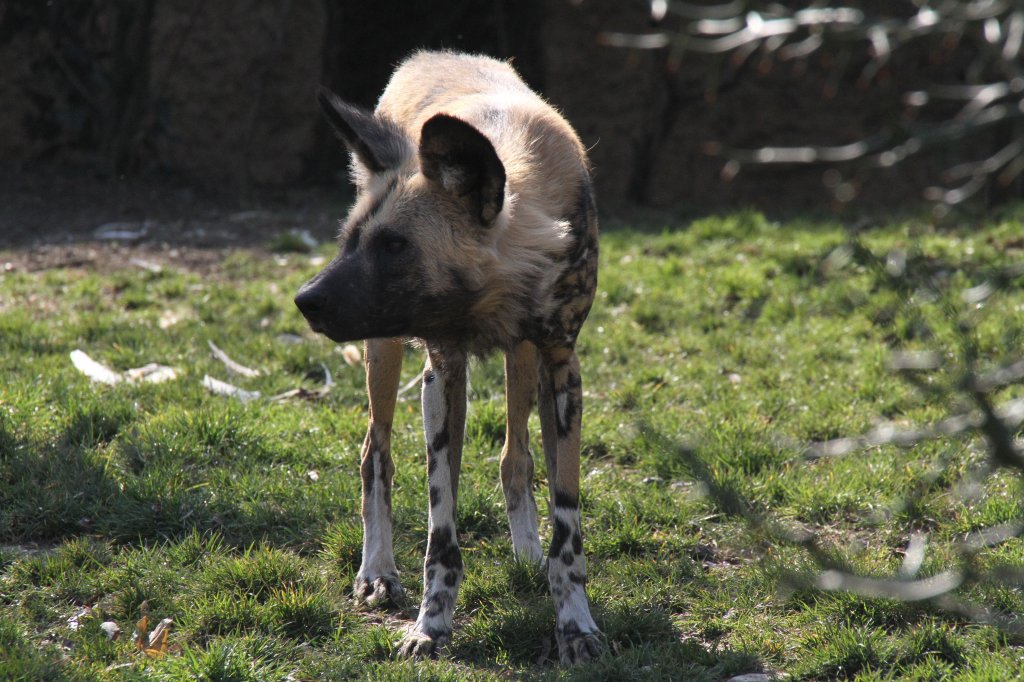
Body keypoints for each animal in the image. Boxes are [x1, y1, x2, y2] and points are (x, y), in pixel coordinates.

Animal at [294, 51, 598, 663]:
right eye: (350, 240)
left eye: (394, 246)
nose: (305, 300)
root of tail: (432, 56)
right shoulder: (442, 369)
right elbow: (442, 530)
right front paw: (431, 625)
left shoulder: (562, 369)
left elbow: (567, 525)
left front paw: (575, 623)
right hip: (385, 351)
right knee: (375, 453)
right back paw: (378, 572)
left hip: (522, 362)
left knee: (515, 456)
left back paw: (527, 556)